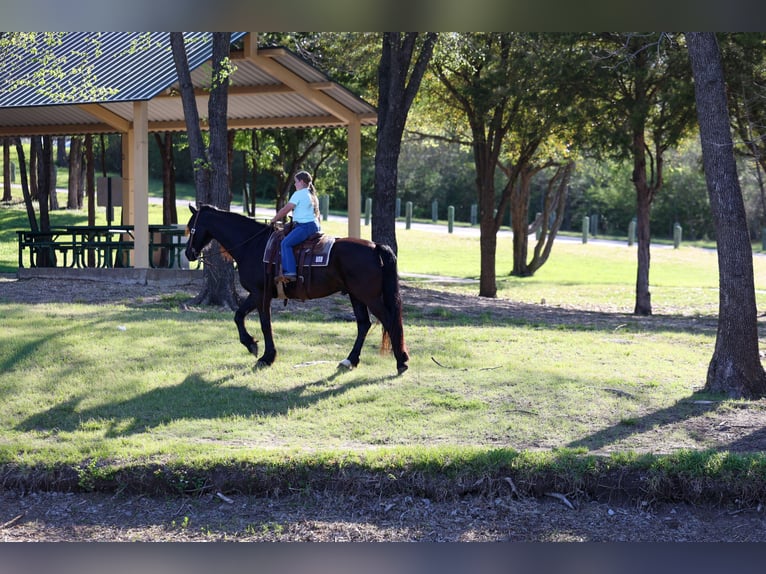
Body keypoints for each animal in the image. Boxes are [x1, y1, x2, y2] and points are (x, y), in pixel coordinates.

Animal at [184, 204, 409, 375]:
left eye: (192, 228)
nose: (188, 253)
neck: (252, 245)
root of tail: (375, 247)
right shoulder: (256, 294)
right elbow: (239, 316)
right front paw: (252, 345)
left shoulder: (260, 293)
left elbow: (264, 324)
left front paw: (266, 356)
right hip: (356, 296)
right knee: (364, 324)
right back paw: (350, 360)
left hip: (369, 297)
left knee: (389, 320)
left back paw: (401, 362)